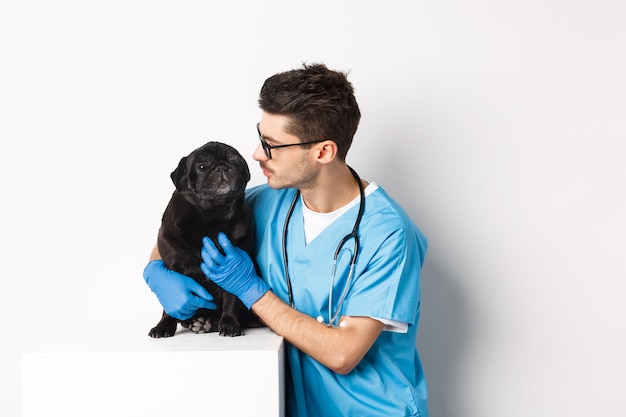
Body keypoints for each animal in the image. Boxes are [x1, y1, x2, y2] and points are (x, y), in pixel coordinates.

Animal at [149, 141, 258, 336]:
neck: (210, 217)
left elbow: (232, 297)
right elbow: (169, 302)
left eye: (236, 162)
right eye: (202, 167)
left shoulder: (233, 264)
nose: (222, 167)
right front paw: (164, 326)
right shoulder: (173, 267)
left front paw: (230, 323)